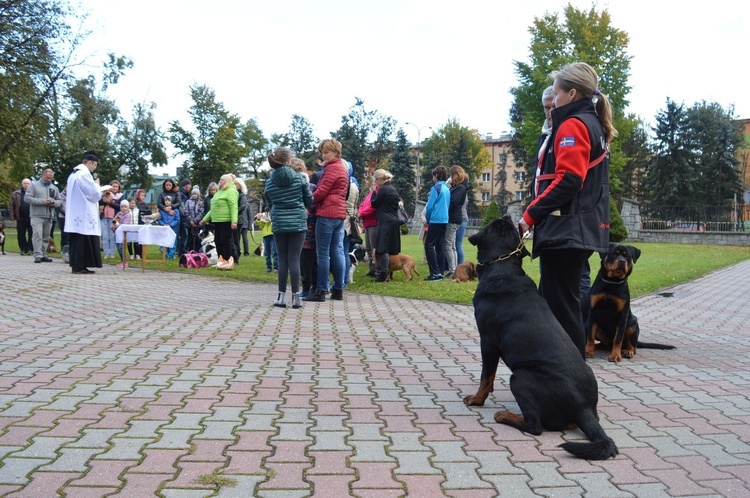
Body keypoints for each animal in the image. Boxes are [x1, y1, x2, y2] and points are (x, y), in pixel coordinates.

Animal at [468, 216, 620, 462]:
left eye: (493, 223)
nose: (508, 216)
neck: (503, 268)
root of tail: (584, 408)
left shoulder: (488, 341)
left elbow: (485, 377)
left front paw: (476, 400)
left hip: (520, 378)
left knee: (535, 426)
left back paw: (505, 416)